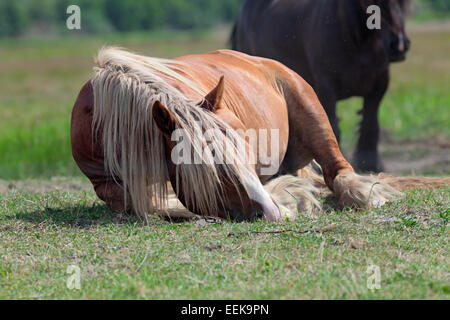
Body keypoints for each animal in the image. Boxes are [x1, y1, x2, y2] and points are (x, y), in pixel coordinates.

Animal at [232, 0, 412, 172]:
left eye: (403, 2)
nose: (399, 44)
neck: (356, 42)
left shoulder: (379, 86)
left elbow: (370, 123)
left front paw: (370, 164)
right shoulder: (326, 87)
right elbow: (333, 126)